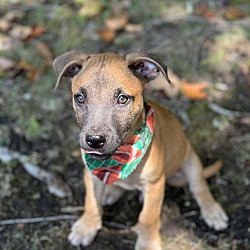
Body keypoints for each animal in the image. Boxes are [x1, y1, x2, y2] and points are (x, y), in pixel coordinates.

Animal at [53, 50, 229, 250]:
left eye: (122, 99)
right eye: (80, 98)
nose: (94, 140)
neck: (121, 156)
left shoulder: (154, 184)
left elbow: (148, 218)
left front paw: (147, 244)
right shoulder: (90, 174)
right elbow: (91, 202)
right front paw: (86, 227)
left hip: (190, 161)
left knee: (199, 186)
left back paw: (212, 211)